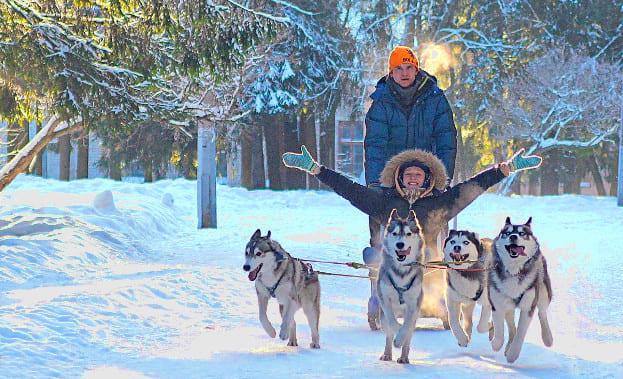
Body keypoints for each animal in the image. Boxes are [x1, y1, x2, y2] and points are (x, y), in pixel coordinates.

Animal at [376, 209, 424, 364]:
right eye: (395, 233)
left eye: (408, 233)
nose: (400, 245)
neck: (401, 272)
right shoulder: (384, 299)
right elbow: (392, 322)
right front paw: (397, 336)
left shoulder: (413, 304)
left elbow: (406, 327)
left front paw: (400, 339)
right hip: (382, 315)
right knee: (388, 331)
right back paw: (387, 353)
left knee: (409, 332)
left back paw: (404, 356)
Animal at [490, 218, 552, 364]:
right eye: (507, 233)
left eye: (522, 233)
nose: (513, 236)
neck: (514, 271)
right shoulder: (497, 303)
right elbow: (499, 332)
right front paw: (496, 344)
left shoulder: (528, 307)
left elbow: (520, 333)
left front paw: (513, 354)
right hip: (508, 305)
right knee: (510, 323)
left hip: (543, 291)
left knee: (542, 312)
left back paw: (547, 337)